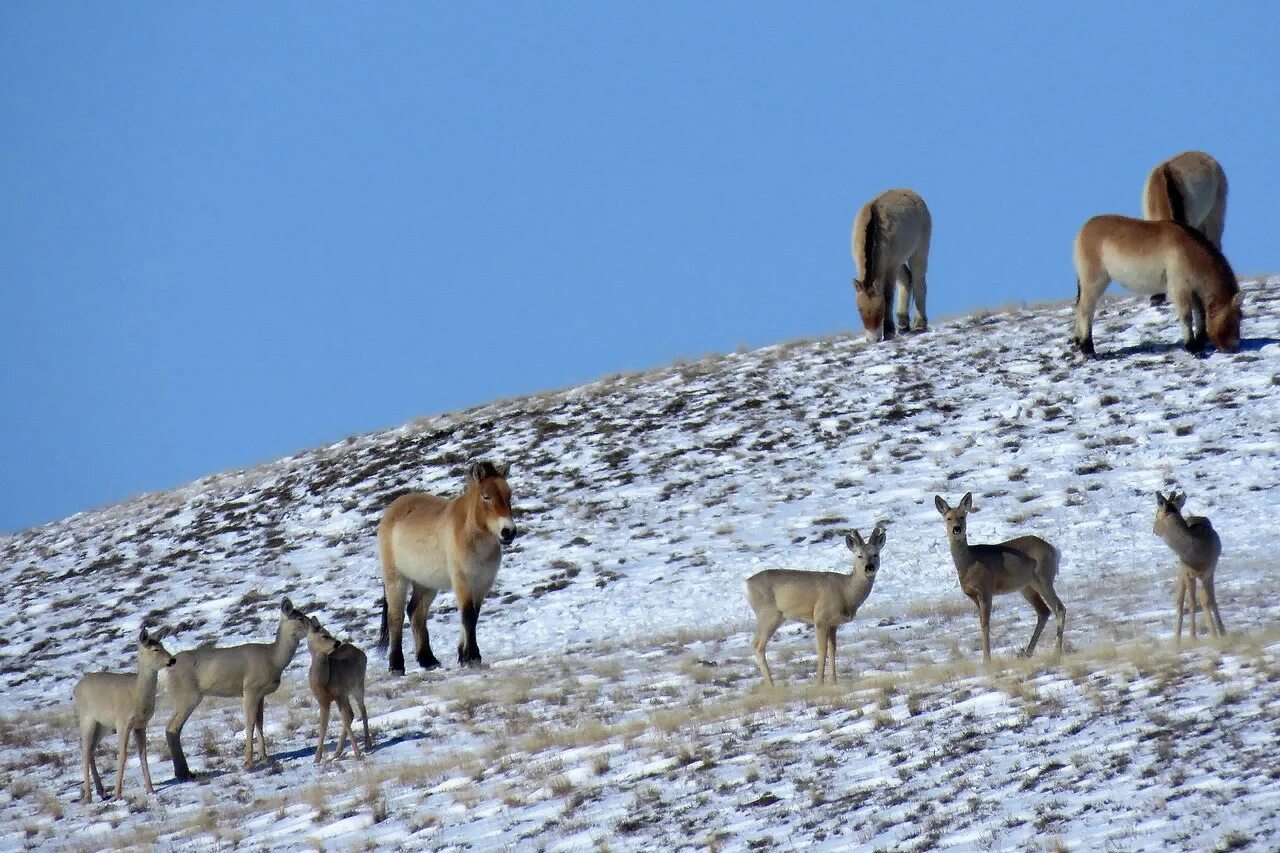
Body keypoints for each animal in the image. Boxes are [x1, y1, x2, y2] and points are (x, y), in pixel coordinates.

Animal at [377, 460, 517, 672]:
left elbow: (474, 616)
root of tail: (392, 510)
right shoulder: (462, 581)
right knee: (396, 618)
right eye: (486, 496)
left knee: (415, 612)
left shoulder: (482, 585)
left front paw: (464, 656)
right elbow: (467, 616)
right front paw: (472, 656)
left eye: (509, 495)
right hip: (396, 579)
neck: (472, 536)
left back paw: (428, 660)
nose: (508, 532)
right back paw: (396, 666)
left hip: (426, 584)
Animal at [851, 189, 932, 342]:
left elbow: (889, 296)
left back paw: (919, 324)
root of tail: (913, 194)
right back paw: (903, 323)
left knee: (919, 283)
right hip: (898, 263)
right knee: (907, 279)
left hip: (918, 252)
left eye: (880, 308)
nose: (873, 339)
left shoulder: (891, 267)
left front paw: (888, 331)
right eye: (860, 309)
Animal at [1072, 215, 1242, 357]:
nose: (1234, 347)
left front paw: (1199, 341)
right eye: (1236, 318)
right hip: (1094, 282)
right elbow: (1186, 316)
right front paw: (1192, 346)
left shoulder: (1193, 292)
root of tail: (1084, 229)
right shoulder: (1181, 289)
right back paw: (1087, 348)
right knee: (1085, 310)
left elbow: (1200, 314)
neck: (1192, 252)